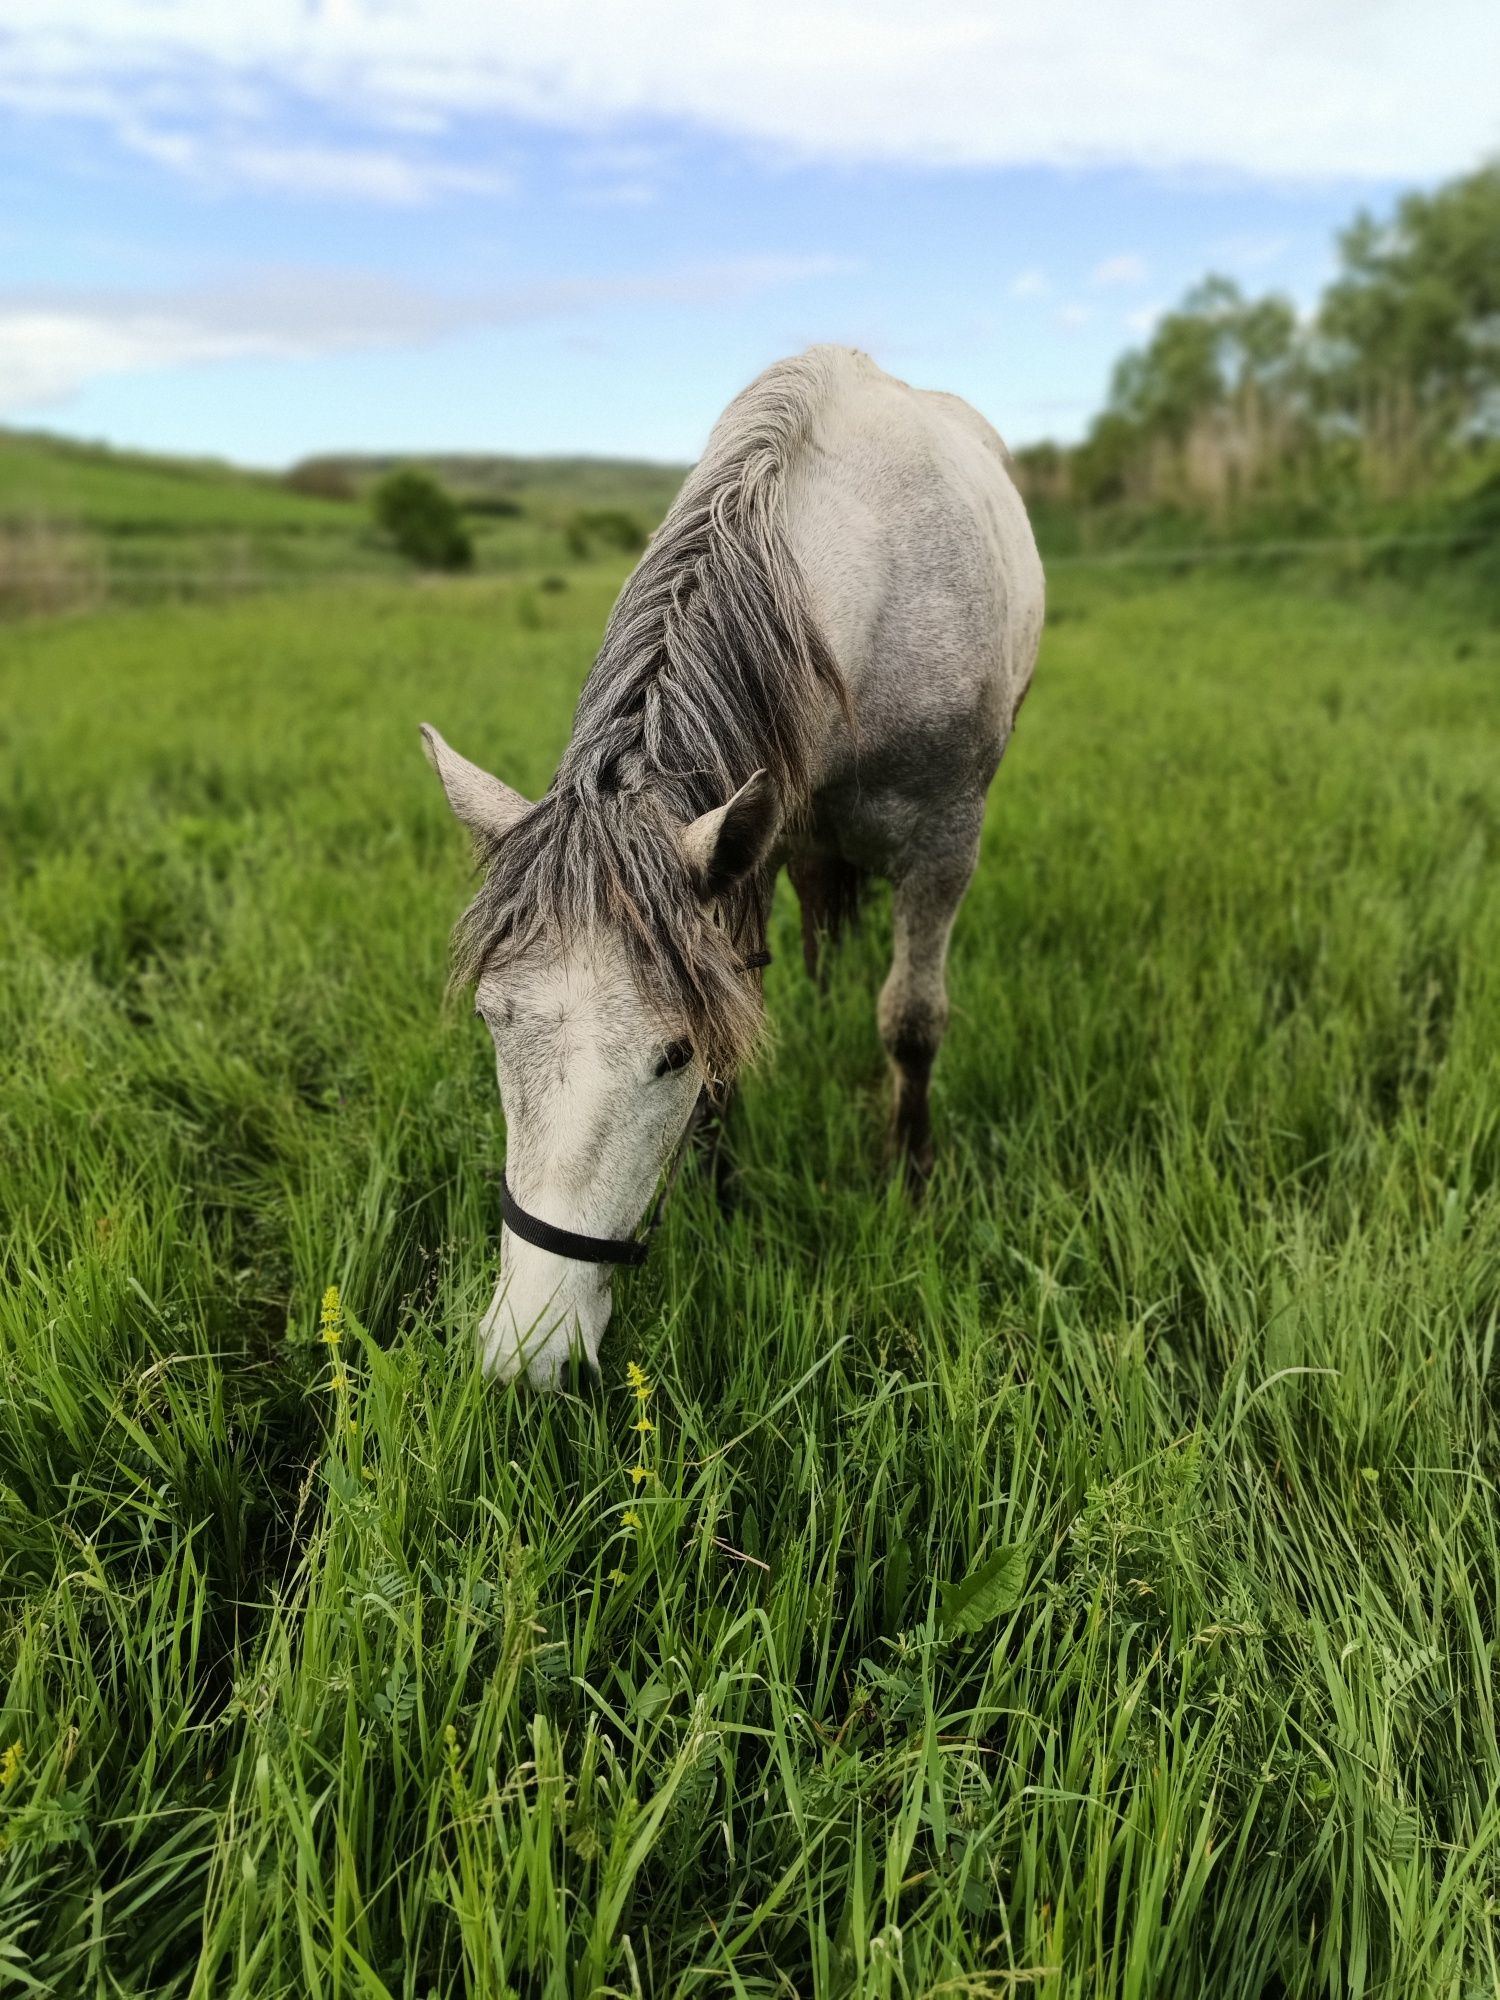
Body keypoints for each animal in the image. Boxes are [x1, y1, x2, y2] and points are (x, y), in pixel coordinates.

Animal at [418, 344, 1040, 1384]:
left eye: (669, 1054)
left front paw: (910, 1183)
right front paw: (723, 1195)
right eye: (490, 1020)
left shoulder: (945, 845)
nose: (528, 1353)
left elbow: (912, 1021)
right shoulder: (746, 848)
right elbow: (743, 1010)